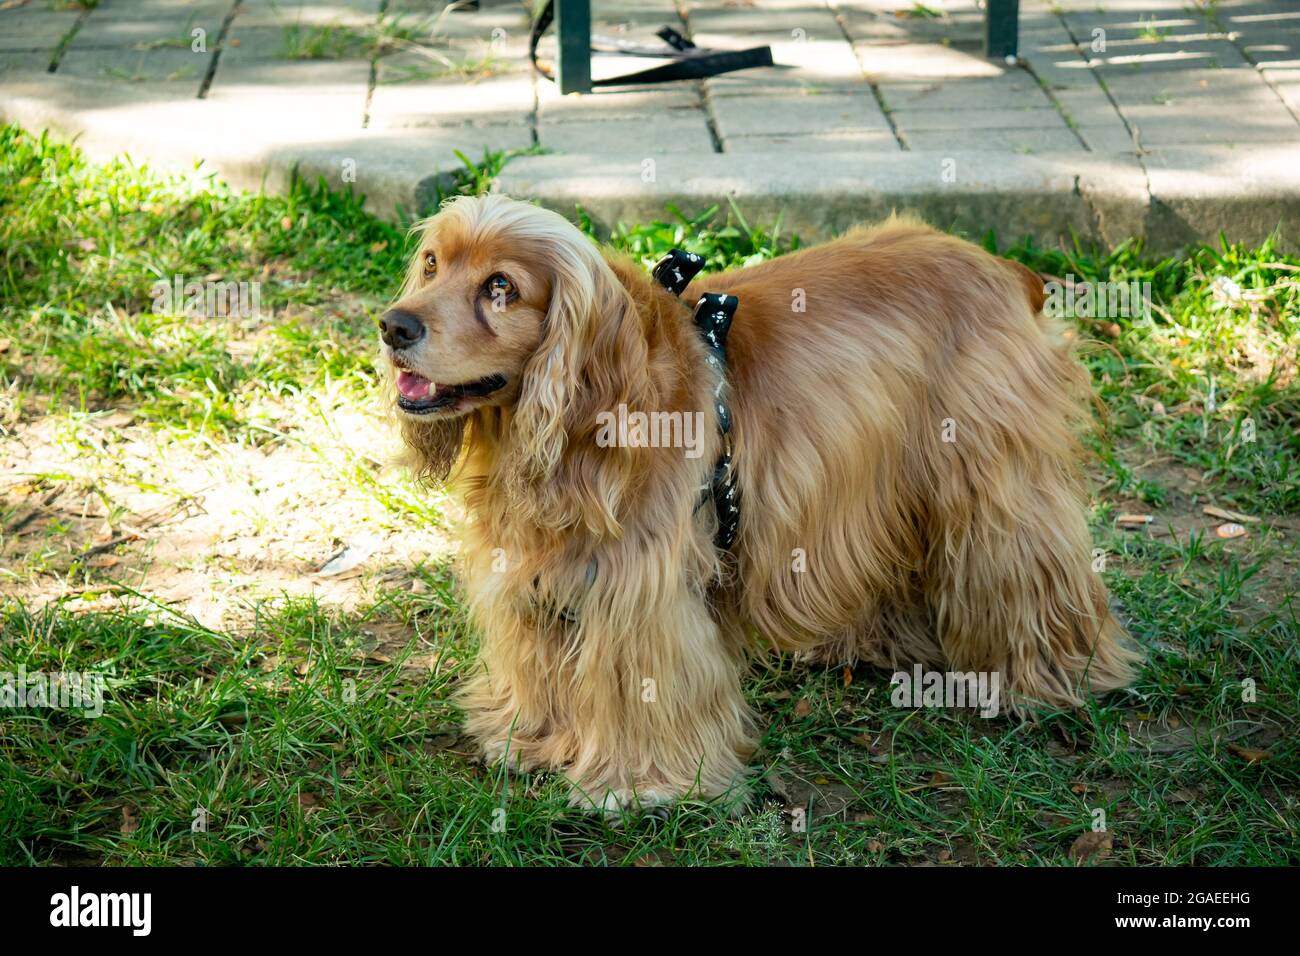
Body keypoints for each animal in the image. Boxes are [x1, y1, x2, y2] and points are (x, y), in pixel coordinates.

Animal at [379, 195, 1138, 816]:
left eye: (501, 288)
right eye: (432, 263)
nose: (393, 326)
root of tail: (1003, 266)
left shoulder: (641, 588)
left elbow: (639, 682)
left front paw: (642, 784)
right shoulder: (537, 576)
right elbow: (539, 660)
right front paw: (529, 738)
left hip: (993, 483)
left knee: (1031, 573)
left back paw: (1051, 677)